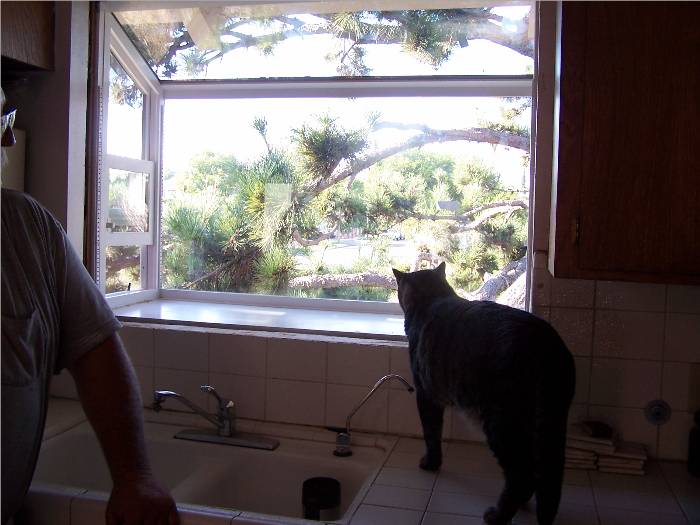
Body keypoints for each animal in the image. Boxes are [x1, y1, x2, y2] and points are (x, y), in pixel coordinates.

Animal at [392, 264, 576, 524]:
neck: (432, 298)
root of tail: (545, 344)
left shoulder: (426, 395)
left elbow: (431, 433)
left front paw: (431, 463)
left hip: (501, 422)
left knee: (521, 475)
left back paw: (498, 515)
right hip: (544, 422)